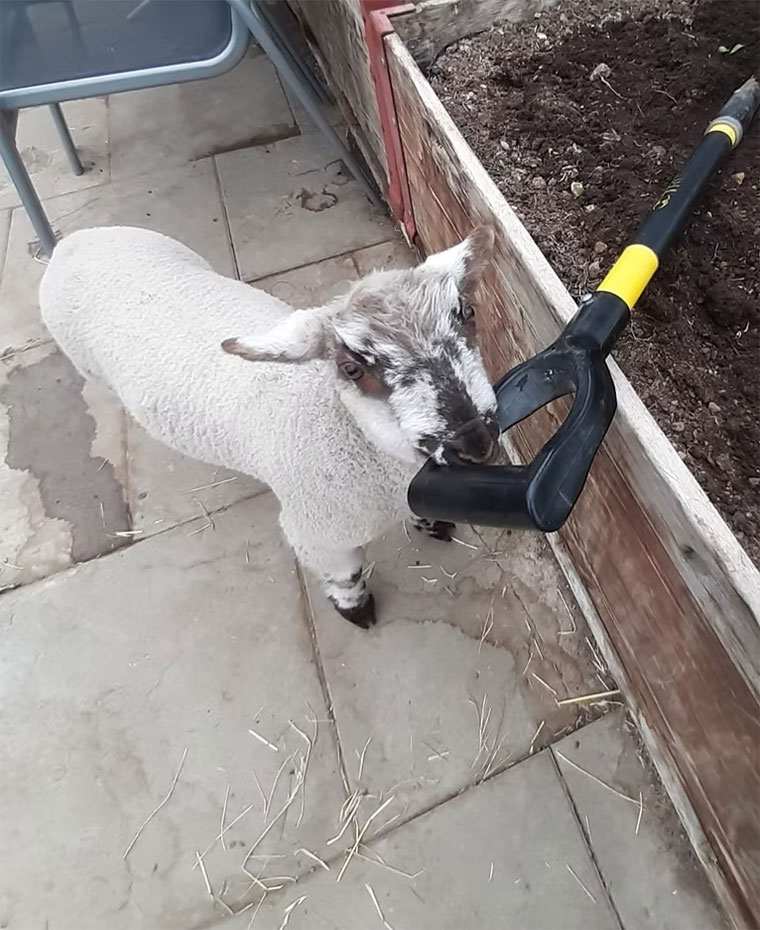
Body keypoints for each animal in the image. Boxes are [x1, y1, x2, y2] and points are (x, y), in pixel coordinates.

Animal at [39, 225, 499, 628]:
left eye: (468, 312)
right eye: (352, 369)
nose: (475, 441)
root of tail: (74, 241)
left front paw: (431, 524)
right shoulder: (319, 535)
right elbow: (346, 576)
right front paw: (356, 610)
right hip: (87, 364)